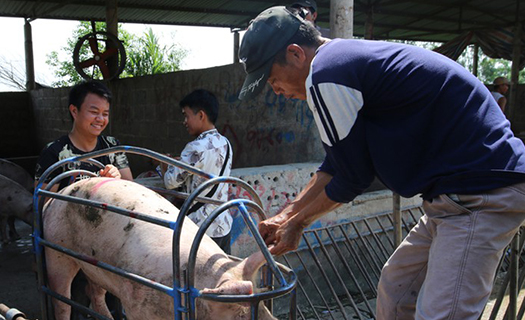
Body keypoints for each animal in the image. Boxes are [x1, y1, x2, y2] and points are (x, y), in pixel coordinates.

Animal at [43, 178, 278, 320]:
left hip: (96, 265)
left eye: (265, 307)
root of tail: (55, 196)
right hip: (55, 246)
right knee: (61, 298)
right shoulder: (137, 300)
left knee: (94, 292)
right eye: (240, 316)